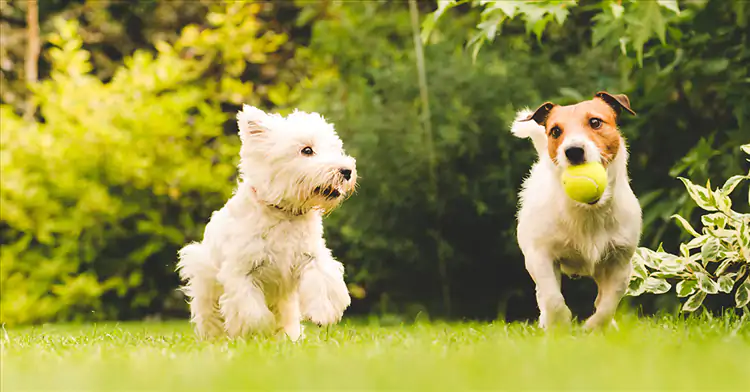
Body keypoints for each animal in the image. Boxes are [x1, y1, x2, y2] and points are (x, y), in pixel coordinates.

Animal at [178, 104, 356, 340]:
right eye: (307, 150)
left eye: (335, 148)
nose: (347, 171)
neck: (285, 213)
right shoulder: (241, 271)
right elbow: (253, 313)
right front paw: (257, 333)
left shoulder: (310, 256)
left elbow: (322, 281)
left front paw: (322, 314)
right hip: (204, 281)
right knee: (210, 316)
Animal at [516, 92, 644, 330]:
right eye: (555, 131)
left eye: (595, 122)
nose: (573, 151)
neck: (589, 210)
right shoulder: (541, 256)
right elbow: (553, 298)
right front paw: (560, 323)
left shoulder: (620, 262)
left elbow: (608, 303)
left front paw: (594, 326)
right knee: (543, 294)